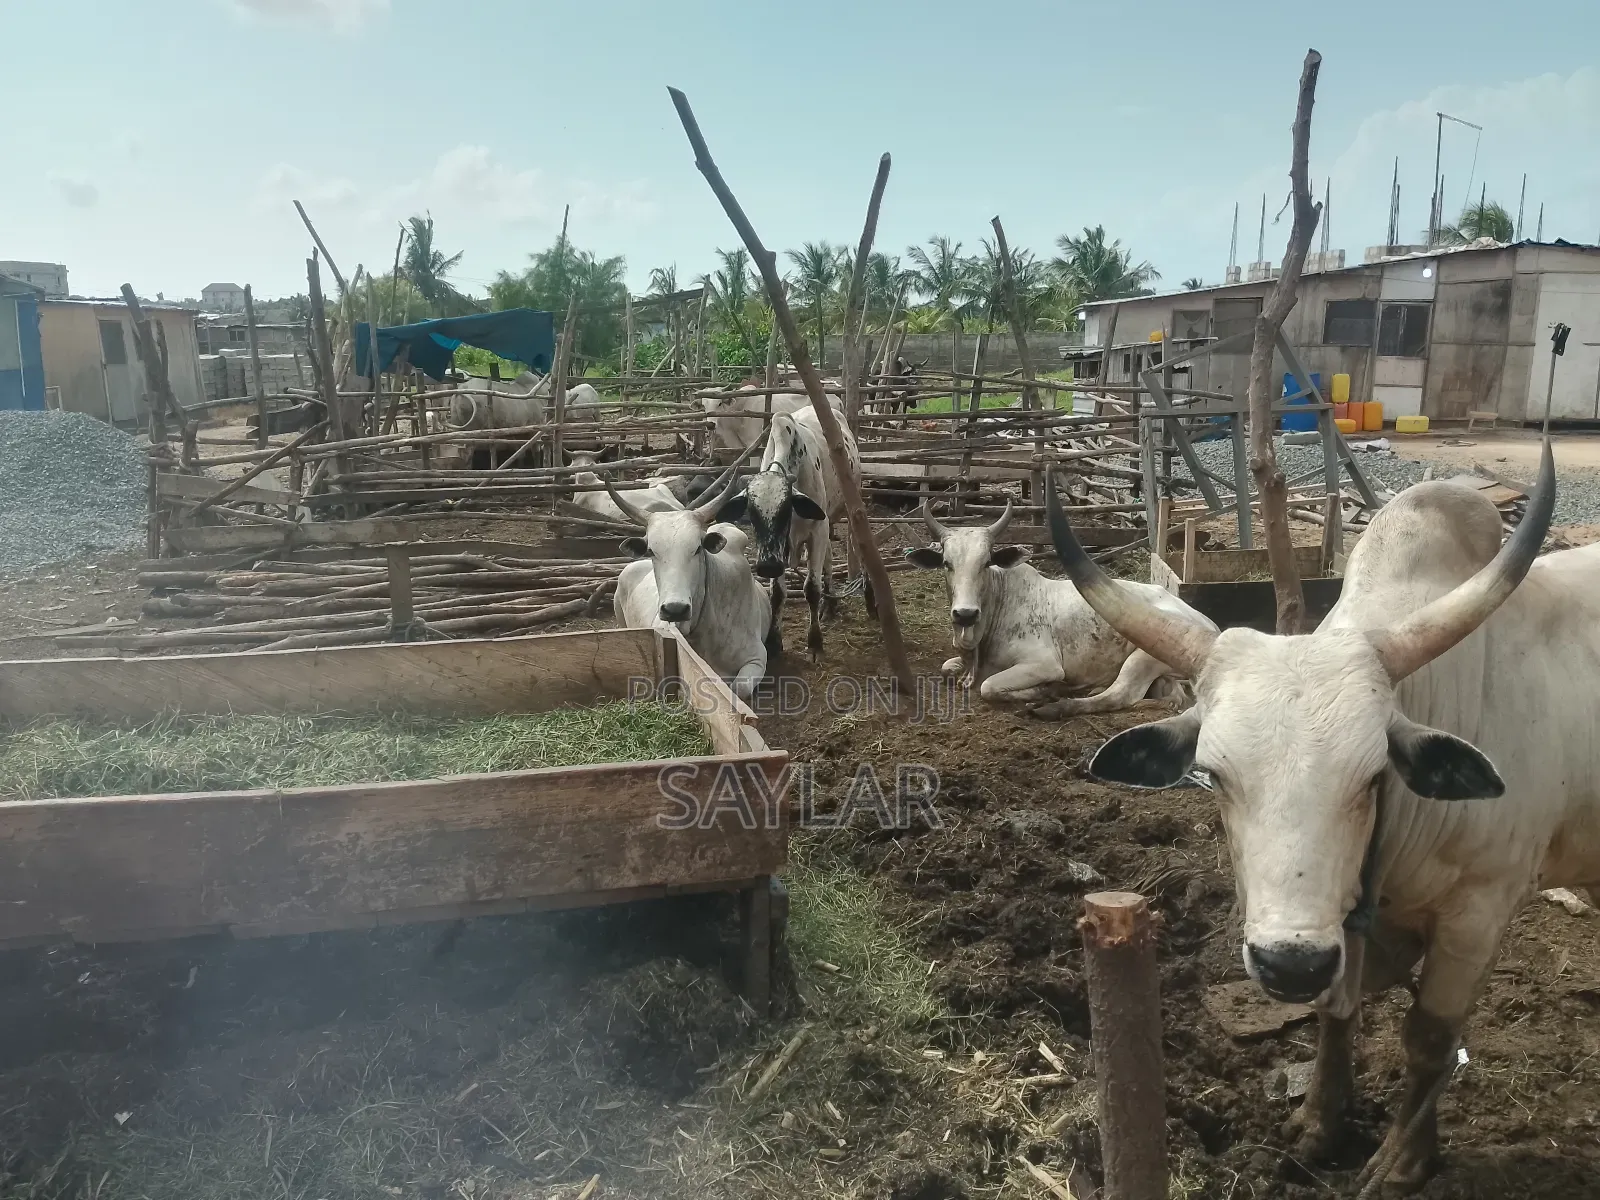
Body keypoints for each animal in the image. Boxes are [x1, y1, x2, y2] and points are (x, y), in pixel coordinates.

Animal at [718, 405, 859, 657]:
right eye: (752, 513)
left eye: (785, 510)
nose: (767, 566)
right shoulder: (784, 548)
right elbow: (777, 593)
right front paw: (774, 642)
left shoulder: (817, 531)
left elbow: (811, 588)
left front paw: (815, 643)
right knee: (829, 560)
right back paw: (830, 604)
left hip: (849, 506)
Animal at [905, 501, 1213, 709]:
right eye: (947, 563)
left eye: (986, 563)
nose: (965, 614)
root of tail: (1207, 622)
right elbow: (947, 667)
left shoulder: (1044, 664)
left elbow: (989, 687)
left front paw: (1043, 691)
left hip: (1145, 655)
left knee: (1122, 695)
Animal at [1038, 447, 1595, 1191]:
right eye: (1214, 775)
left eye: (1373, 776)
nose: (1290, 963)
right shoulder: (1346, 923)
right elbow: (1338, 1011)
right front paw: (1320, 1126)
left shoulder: (1480, 912)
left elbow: (1429, 1039)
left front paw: (1404, 1161)